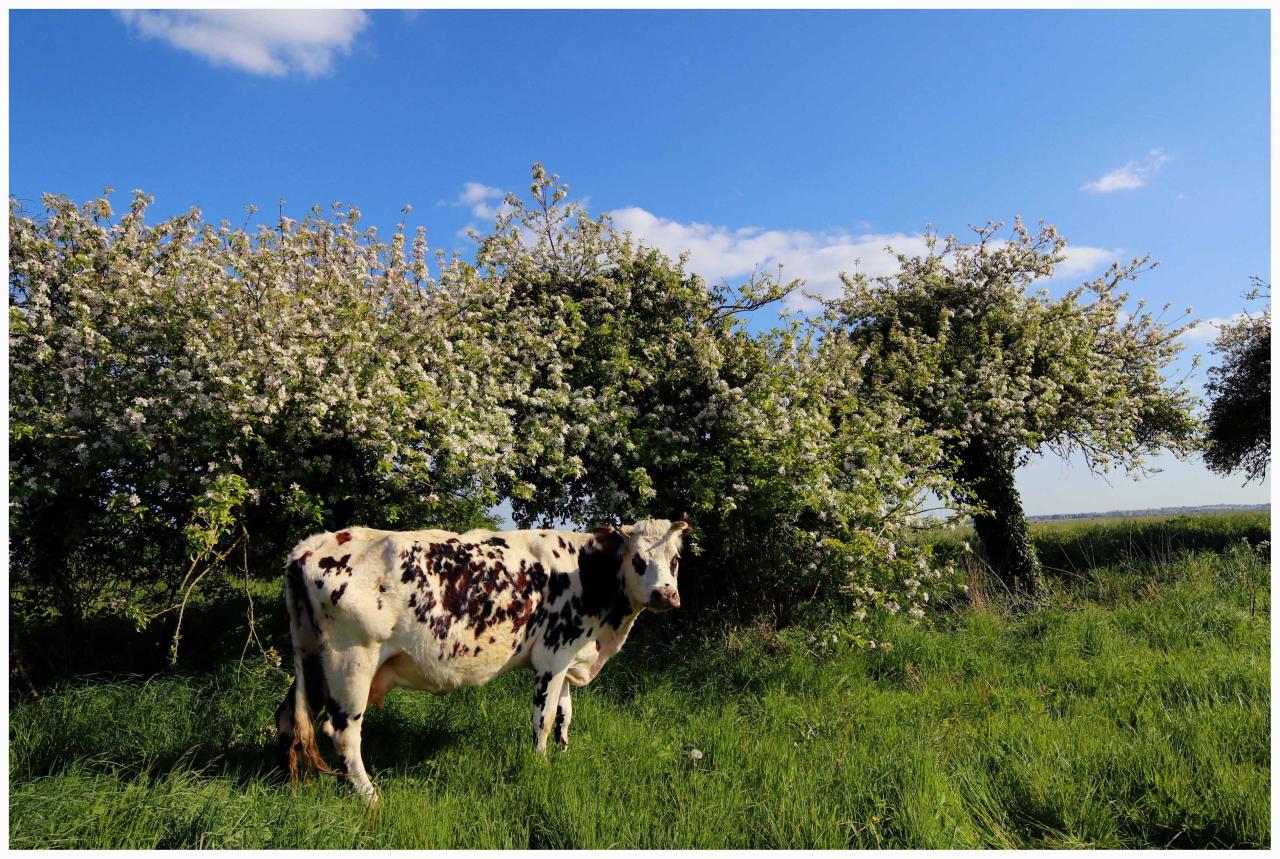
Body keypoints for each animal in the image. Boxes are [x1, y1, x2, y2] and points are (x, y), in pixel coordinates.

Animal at [272, 514, 691, 803]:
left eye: (675, 560)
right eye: (637, 559)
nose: (665, 595)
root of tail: (310, 546)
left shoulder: (569, 654)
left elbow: (564, 715)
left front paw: (564, 756)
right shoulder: (552, 656)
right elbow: (543, 720)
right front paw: (540, 768)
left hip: (310, 658)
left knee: (289, 718)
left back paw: (289, 784)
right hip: (351, 663)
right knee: (341, 732)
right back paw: (371, 797)